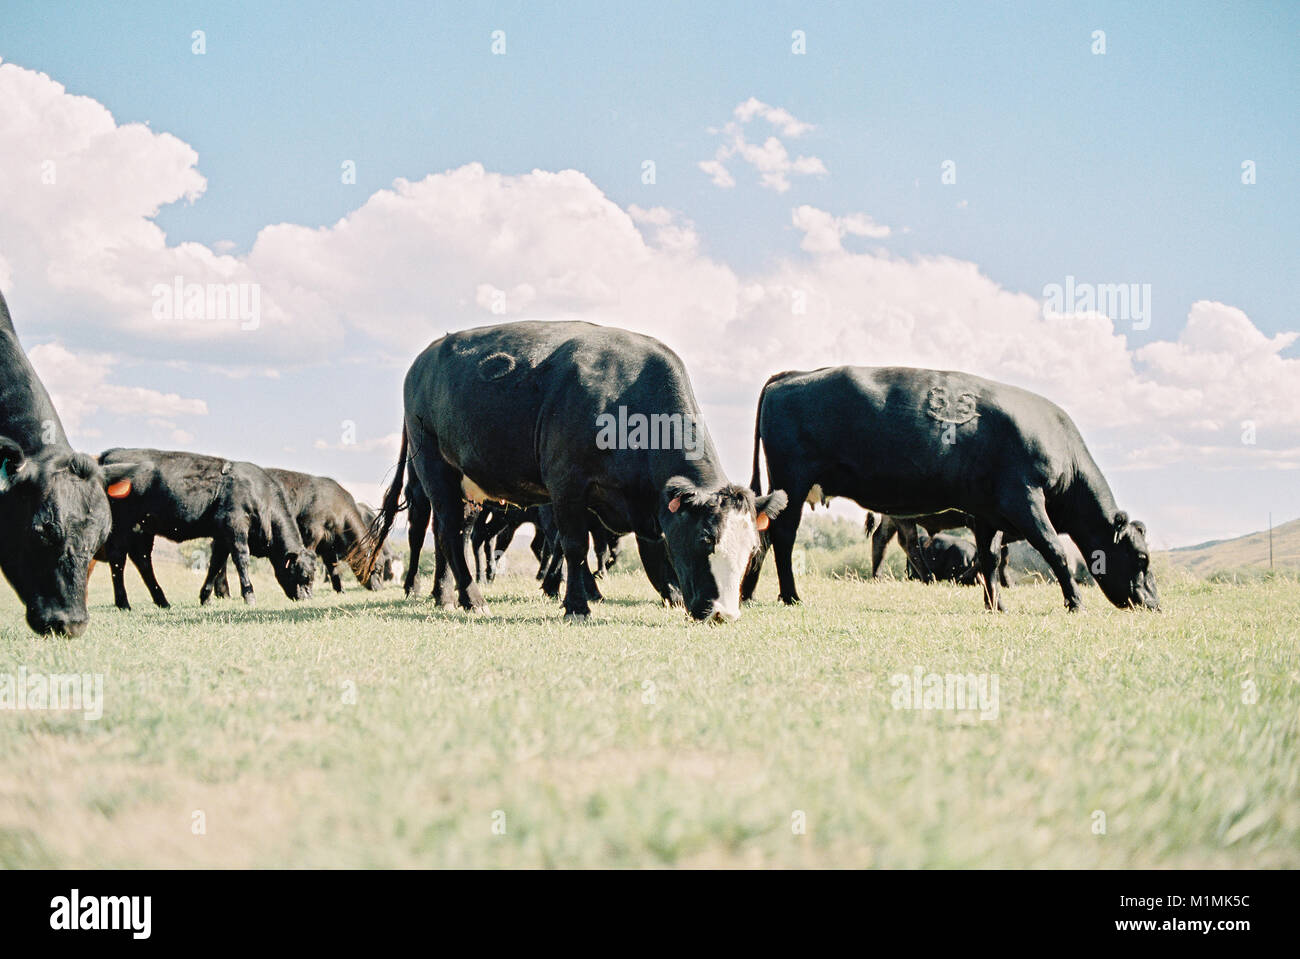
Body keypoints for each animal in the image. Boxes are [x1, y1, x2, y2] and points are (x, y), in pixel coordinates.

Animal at [97, 449, 317, 609]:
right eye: (303, 576)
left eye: (312, 576)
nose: (307, 598)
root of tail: (111, 454)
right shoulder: (235, 525)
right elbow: (241, 560)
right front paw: (249, 595)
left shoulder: (222, 536)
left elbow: (215, 564)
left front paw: (206, 597)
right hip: (122, 525)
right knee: (118, 558)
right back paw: (124, 603)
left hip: (142, 529)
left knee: (142, 561)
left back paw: (162, 601)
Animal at [358, 321, 787, 621]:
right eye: (705, 540)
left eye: (752, 551)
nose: (724, 613)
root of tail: (426, 356)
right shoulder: (567, 487)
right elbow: (575, 546)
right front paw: (577, 605)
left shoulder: (647, 501)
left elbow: (649, 549)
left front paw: (672, 594)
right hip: (434, 467)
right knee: (443, 529)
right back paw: (469, 598)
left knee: (457, 533)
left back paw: (446, 594)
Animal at [741, 366, 1158, 612]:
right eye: (1141, 559)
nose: (1153, 603)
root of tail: (794, 375)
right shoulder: (1025, 499)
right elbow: (1054, 550)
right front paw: (1075, 603)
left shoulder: (988, 513)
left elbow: (990, 558)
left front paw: (995, 606)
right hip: (793, 483)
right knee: (784, 537)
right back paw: (790, 596)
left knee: (767, 536)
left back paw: (749, 593)